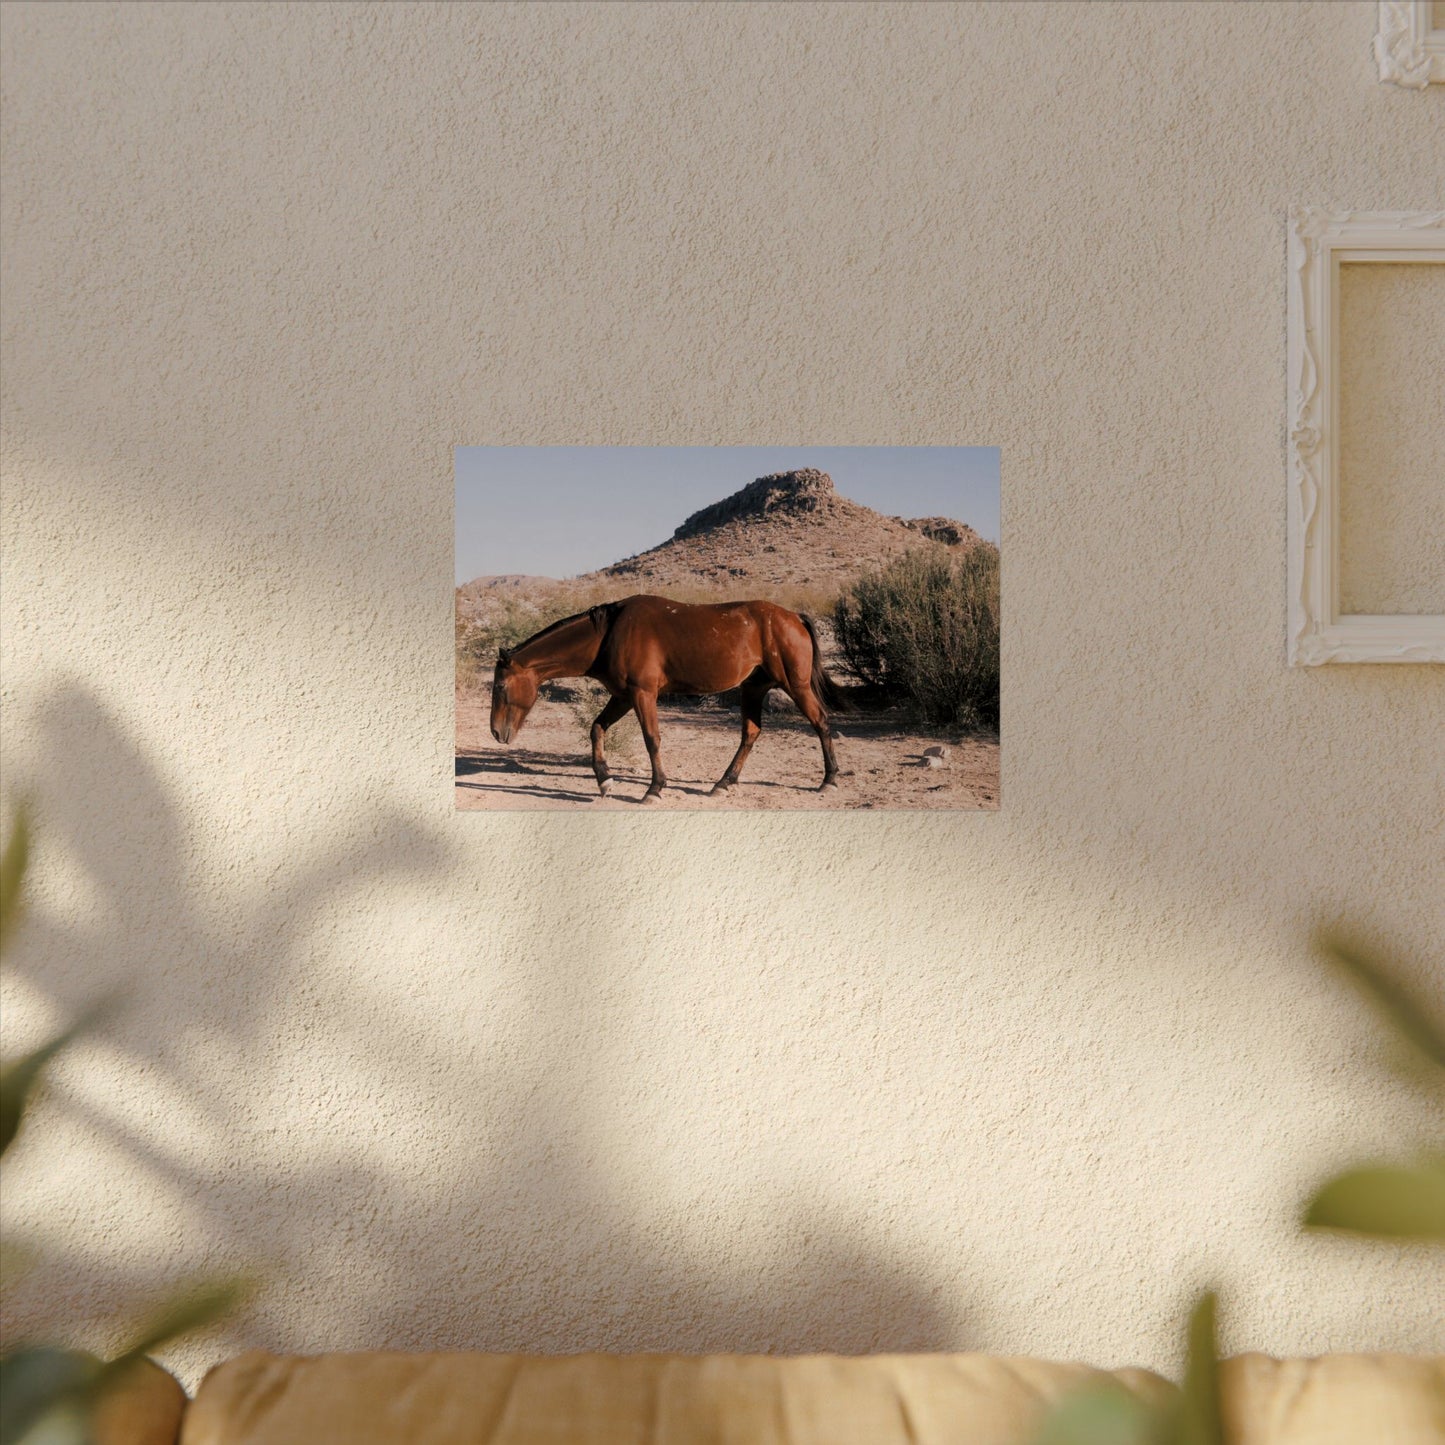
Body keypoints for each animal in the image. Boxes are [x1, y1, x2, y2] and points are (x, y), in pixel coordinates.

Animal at [489, 595, 845, 802]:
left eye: (501, 687)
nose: (496, 732)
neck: (609, 634)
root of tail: (794, 617)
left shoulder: (642, 694)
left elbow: (652, 739)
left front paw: (654, 788)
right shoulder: (623, 696)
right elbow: (596, 729)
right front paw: (605, 780)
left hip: (795, 685)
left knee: (821, 722)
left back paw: (828, 780)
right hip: (753, 688)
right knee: (751, 733)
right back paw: (723, 783)